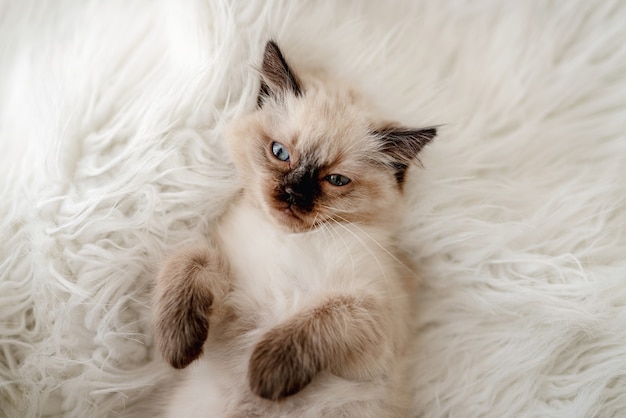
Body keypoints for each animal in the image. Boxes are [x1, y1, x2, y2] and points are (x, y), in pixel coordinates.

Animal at [152, 40, 434, 418]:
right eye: (280, 153)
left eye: (336, 180)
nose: (293, 194)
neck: (289, 239)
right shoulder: (231, 301)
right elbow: (190, 257)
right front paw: (178, 346)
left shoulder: (370, 318)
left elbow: (316, 321)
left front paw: (264, 375)